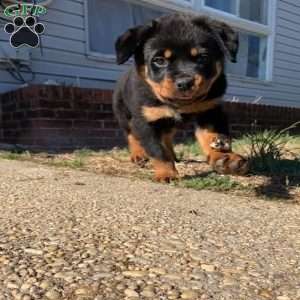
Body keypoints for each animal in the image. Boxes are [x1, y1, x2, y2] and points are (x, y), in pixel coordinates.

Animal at [112, 12, 248, 182]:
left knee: (167, 137)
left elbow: (211, 135)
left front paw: (223, 158)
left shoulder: (210, 110)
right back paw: (138, 155)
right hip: (123, 114)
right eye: (159, 60)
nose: (184, 83)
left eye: (202, 57)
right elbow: (157, 150)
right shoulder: (146, 121)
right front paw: (166, 174)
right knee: (131, 134)